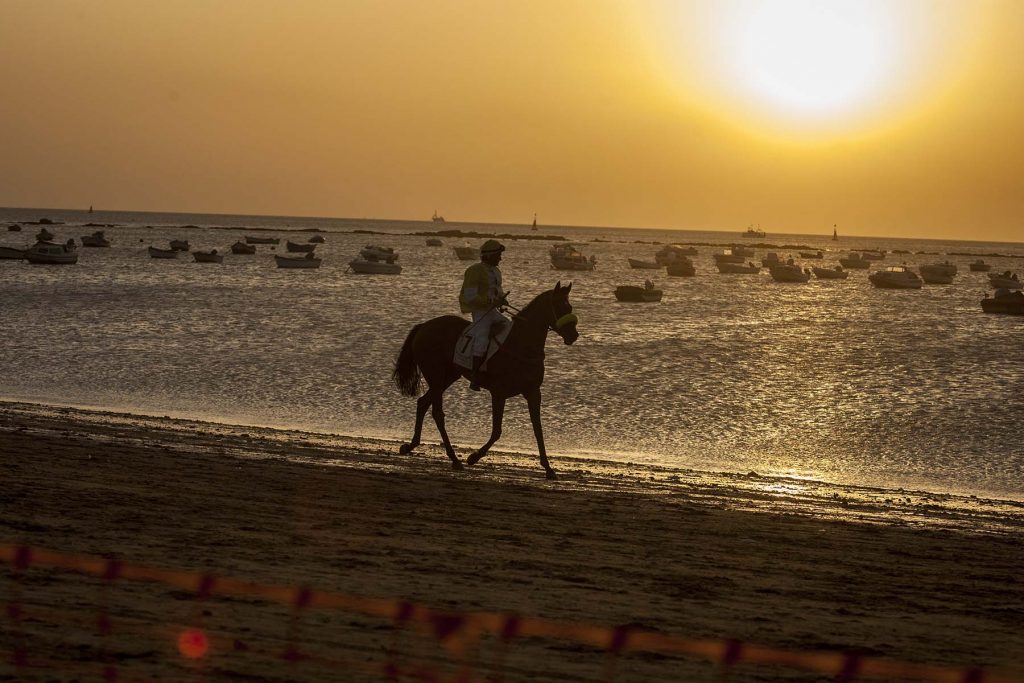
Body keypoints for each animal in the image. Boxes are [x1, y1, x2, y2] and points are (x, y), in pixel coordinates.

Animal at [392, 282, 579, 479]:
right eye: (559, 306)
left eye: (570, 307)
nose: (573, 335)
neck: (520, 344)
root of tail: (424, 326)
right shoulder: (499, 393)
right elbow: (497, 431)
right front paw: (473, 457)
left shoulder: (533, 392)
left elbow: (538, 429)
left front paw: (549, 468)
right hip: (435, 376)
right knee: (437, 413)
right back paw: (454, 459)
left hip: (447, 377)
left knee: (423, 403)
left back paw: (410, 446)